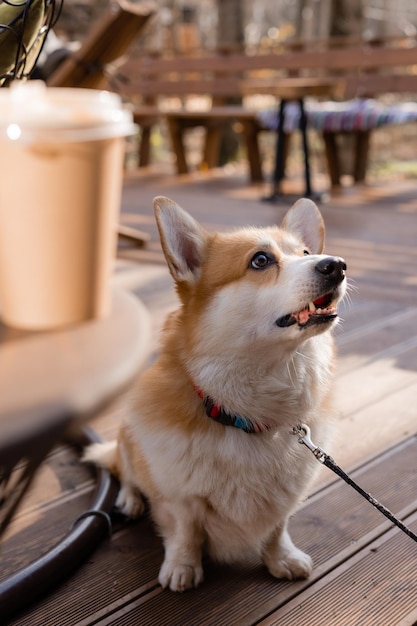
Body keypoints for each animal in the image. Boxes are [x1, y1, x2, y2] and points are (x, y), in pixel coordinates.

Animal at [83, 195, 344, 588]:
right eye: (260, 260)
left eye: (306, 252)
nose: (337, 266)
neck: (245, 414)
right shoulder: (179, 496)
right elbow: (185, 531)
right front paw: (183, 568)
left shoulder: (285, 497)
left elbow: (277, 527)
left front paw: (281, 558)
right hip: (128, 433)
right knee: (124, 469)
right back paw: (130, 499)